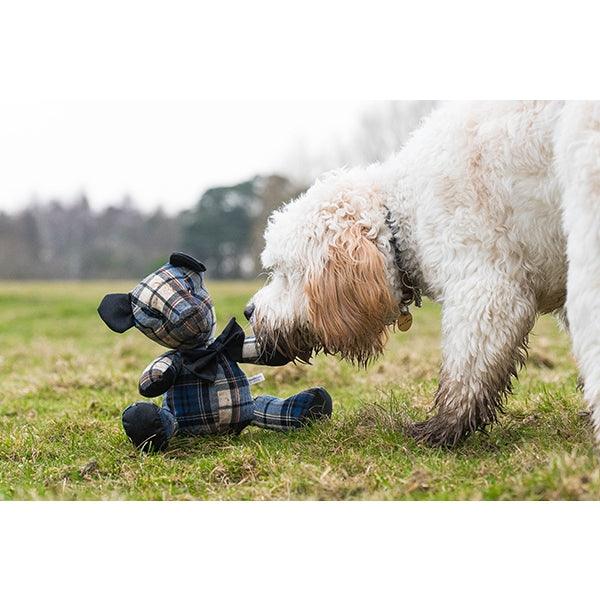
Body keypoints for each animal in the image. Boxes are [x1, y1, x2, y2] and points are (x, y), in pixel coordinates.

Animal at [245, 102, 600, 446]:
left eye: (284, 272)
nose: (248, 311)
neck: (401, 216)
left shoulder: (486, 288)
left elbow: (467, 368)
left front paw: (443, 428)